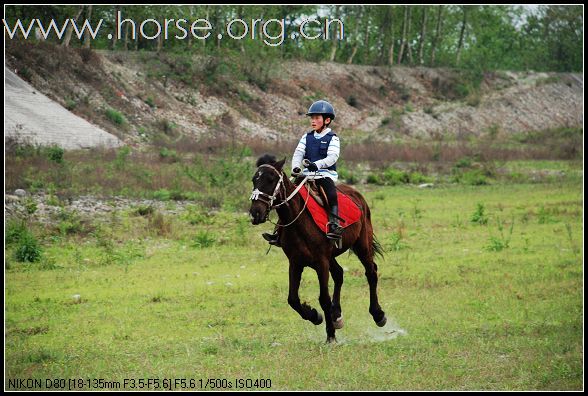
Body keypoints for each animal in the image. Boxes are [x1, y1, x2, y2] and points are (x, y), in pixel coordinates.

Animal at [248, 155, 386, 344]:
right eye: (254, 180)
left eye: (271, 179)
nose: (255, 213)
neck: (299, 222)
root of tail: (358, 196)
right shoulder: (296, 263)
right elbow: (293, 299)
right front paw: (315, 316)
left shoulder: (321, 263)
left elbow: (324, 299)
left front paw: (330, 336)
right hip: (331, 256)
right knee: (339, 274)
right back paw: (337, 315)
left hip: (362, 245)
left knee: (371, 272)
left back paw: (378, 315)